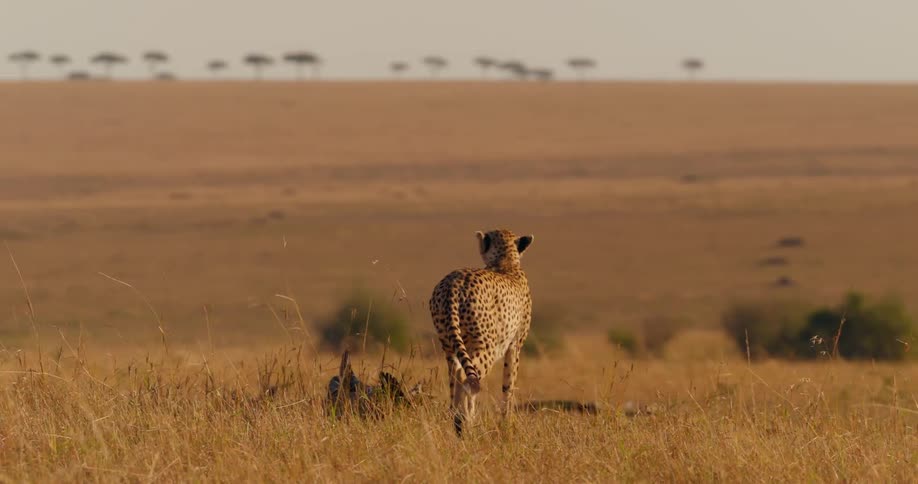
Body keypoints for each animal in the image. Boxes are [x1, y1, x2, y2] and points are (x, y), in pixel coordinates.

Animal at [429, 228, 534, 436]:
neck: (505, 260)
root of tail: (454, 282)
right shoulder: (514, 346)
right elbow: (508, 385)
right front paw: (506, 425)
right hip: (487, 346)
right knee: (467, 379)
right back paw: (462, 422)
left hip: (449, 344)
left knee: (456, 378)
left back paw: (458, 420)